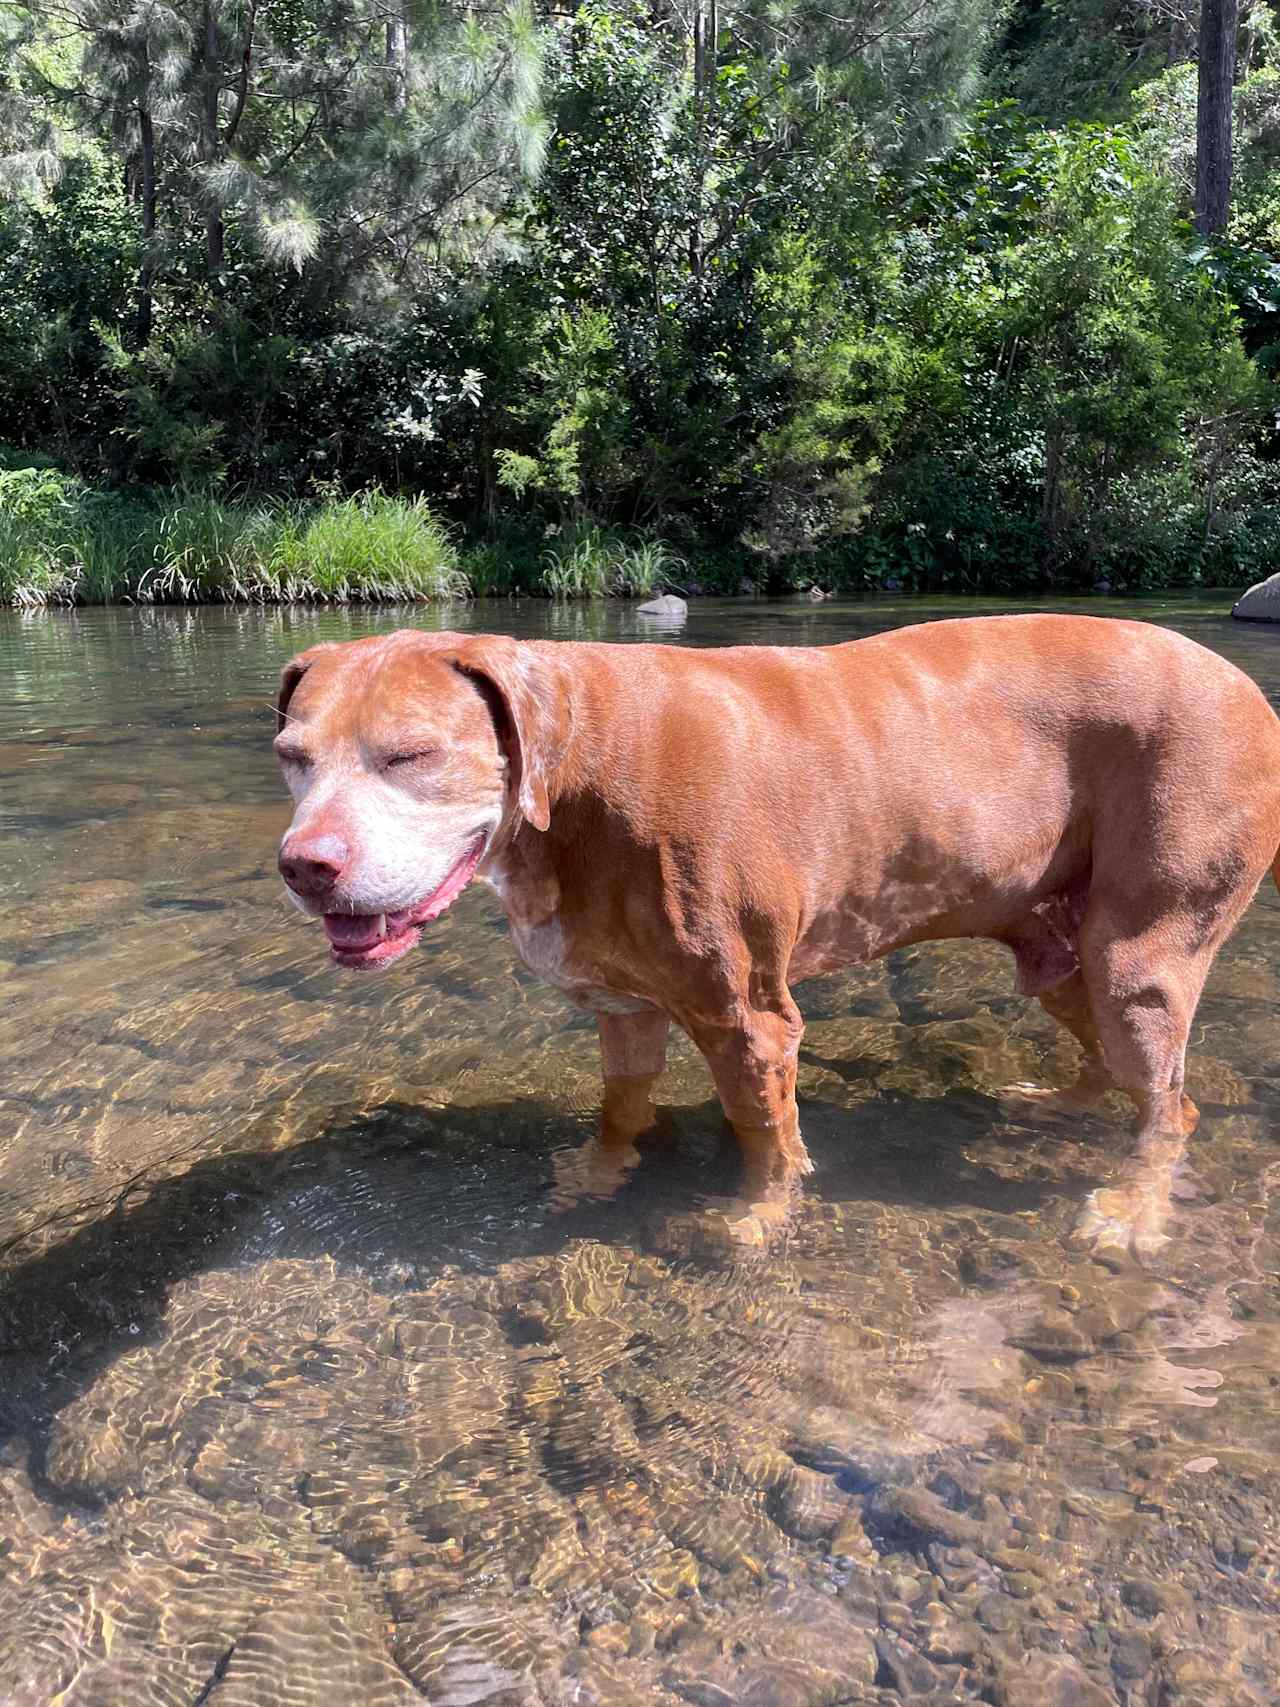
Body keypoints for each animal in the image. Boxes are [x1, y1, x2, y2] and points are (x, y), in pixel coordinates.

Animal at [276, 614, 1280, 1256]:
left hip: (1141, 949)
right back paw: (1065, 1102)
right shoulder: (624, 1006)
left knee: (1171, 1105)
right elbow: (619, 1103)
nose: (303, 865)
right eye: (292, 758)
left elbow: (763, 1133)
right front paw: (599, 1173)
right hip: (1057, 941)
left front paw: (758, 1217)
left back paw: (1132, 1211)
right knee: (1105, 1045)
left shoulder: (747, 1019)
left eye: (412, 754)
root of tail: (1250, 691)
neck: (577, 771)